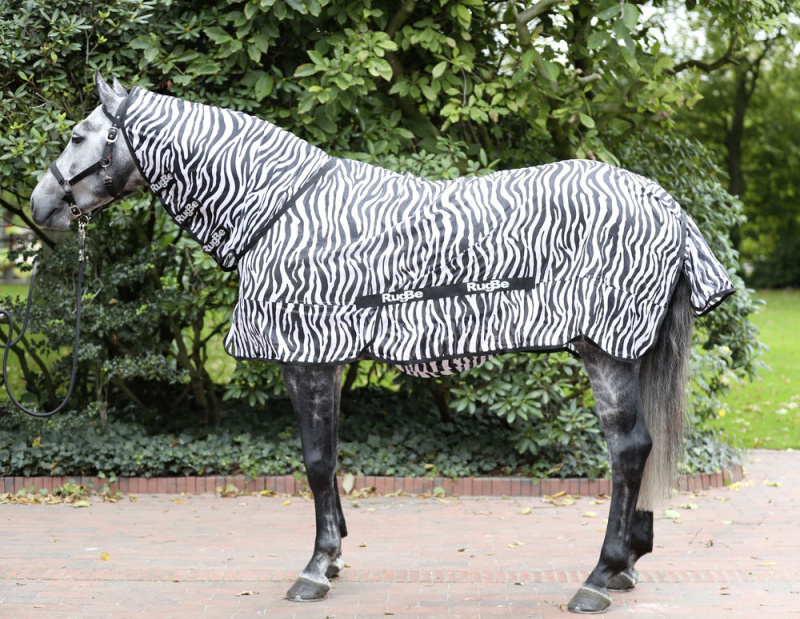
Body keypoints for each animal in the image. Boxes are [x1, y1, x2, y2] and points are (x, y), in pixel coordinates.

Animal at [30, 72, 734, 613]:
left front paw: (315, 569)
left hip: (604, 351)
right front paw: (336, 554)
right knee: (638, 451)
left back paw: (597, 578)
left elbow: (315, 462)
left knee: (628, 450)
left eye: (78, 136)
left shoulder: (305, 359)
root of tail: (663, 203)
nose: (40, 208)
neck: (278, 210)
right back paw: (625, 566)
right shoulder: (329, 360)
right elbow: (331, 455)